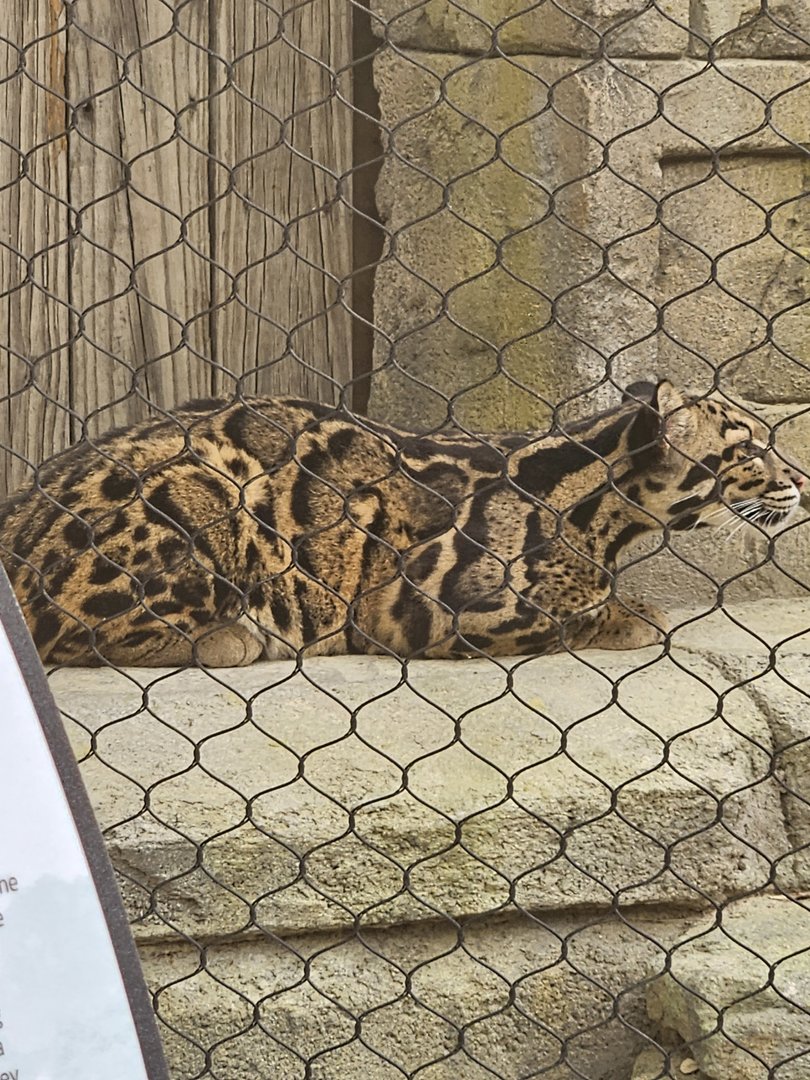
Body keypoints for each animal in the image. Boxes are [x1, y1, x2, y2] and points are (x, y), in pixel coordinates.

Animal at [0, 379, 804, 667]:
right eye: (751, 448)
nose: (799, 481)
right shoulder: (425, 607)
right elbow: (575, 610)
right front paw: (625, 614)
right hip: (204, 492)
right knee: (75, 637)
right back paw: (234, 635)